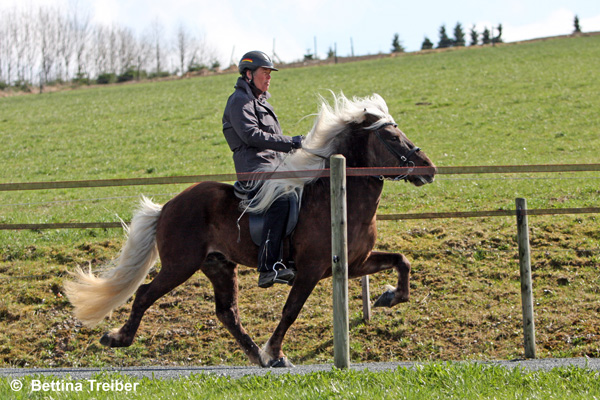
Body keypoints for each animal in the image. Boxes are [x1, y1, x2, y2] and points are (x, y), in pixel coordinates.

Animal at [63, 92, 434, 368]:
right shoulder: (311, 270)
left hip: (218, 265)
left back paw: (255, 355)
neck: (339, 194)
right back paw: (117, 338)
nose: (429, 169)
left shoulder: (354, 263)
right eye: (392, 137)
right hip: (180, 264)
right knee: (144, 294)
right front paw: (276, 352)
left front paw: (391, 296)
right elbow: (291, 310)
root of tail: (167, 207)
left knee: (227, 313)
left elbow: (402, 260)